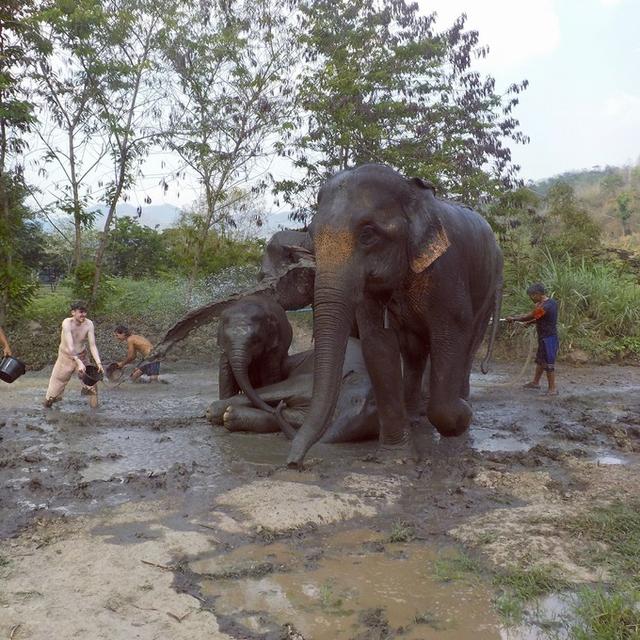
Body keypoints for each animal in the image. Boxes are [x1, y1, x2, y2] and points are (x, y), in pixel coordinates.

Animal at [209, 340, 380, 444]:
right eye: (355, 400)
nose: (281, 406)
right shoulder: (308, 382)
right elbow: (280, 389)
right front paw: (213, 411)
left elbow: (295, 418)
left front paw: (229, 416)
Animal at [288, 162, 502, 468]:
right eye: (312, 236)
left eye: (368, 234)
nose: (294, 462)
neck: (411, 193)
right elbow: (378, 344)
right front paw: (395, 458)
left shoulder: (447, 272)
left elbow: (450, 336)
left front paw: (462, 417)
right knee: (414, 352)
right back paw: (415, 416)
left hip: (489, 286)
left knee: (470, 344)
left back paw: (459, 404)